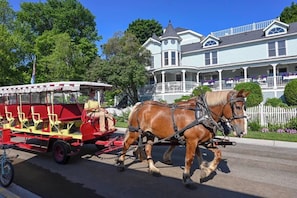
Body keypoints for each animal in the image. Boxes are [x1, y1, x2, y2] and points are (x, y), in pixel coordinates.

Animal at [115, 89, 247, 185]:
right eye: (237, 107)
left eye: (244, 107)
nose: (243, 131)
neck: (202, 114)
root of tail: (139, 105)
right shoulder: (192, 140)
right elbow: (189, 158)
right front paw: (187, 177)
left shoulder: (202, 141)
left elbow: (216, 154)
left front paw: (206, 170)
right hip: (135, 132)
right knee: (126, 144)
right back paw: (121, 163)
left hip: (149, 134)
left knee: (147, 148)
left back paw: (152, 168)